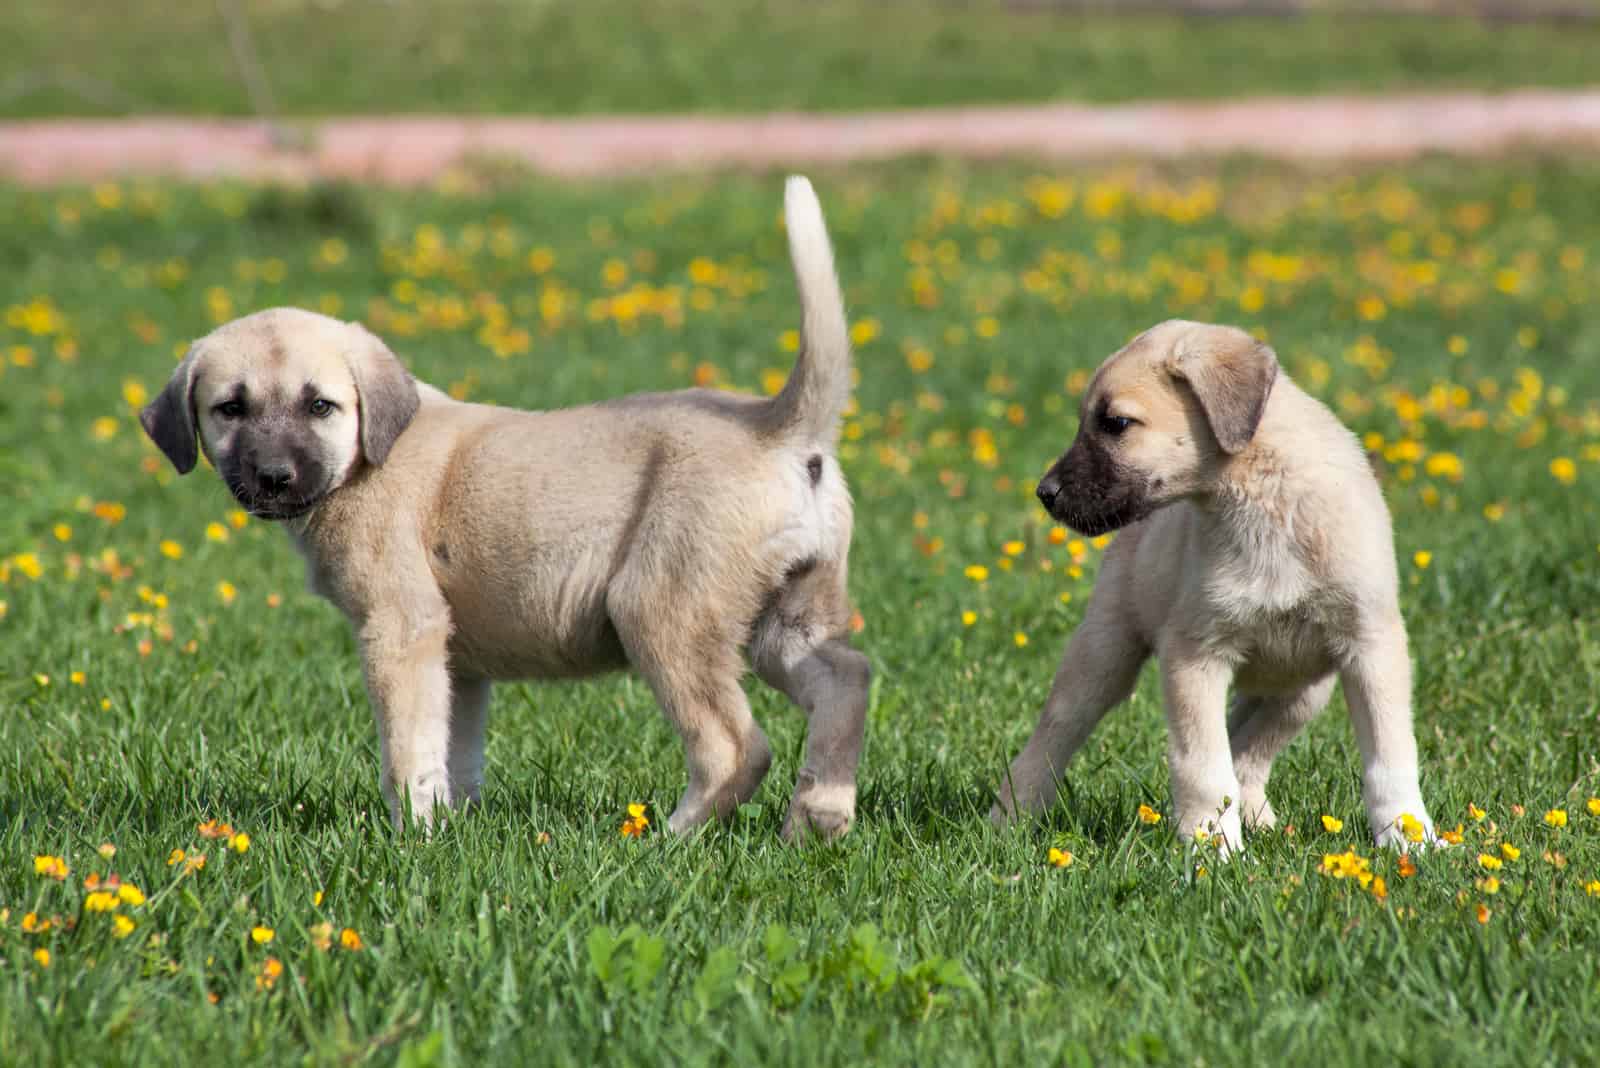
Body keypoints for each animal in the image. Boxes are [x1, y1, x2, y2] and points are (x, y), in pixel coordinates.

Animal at [142, 175, 870, 844]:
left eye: (320, 405)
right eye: (229, 409)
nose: (273, 478)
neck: (368, 456)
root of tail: (779, 427)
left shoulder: (399, 629)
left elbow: (406, 752)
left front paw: (411, 838)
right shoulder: (457, 661)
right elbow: (452, 753)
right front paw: (450, 830)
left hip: (664, 611)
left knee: (736, 749)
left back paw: (670, 839)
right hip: (788, 618)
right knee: (845, 680)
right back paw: (817, 820)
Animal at [998, 321, 1440, 856]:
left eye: (1116, 423)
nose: (1045, 494)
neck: (1267, 501)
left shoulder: (1371, 646)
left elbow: (1390, 757)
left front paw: (1409, 836)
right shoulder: (1195, 655)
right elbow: (1204, 766)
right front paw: (1214, 850)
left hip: (1301, 691)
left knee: (1247, 746)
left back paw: (1260, 819)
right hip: (1102, 656)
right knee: (1053, 737)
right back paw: (1010, 818)